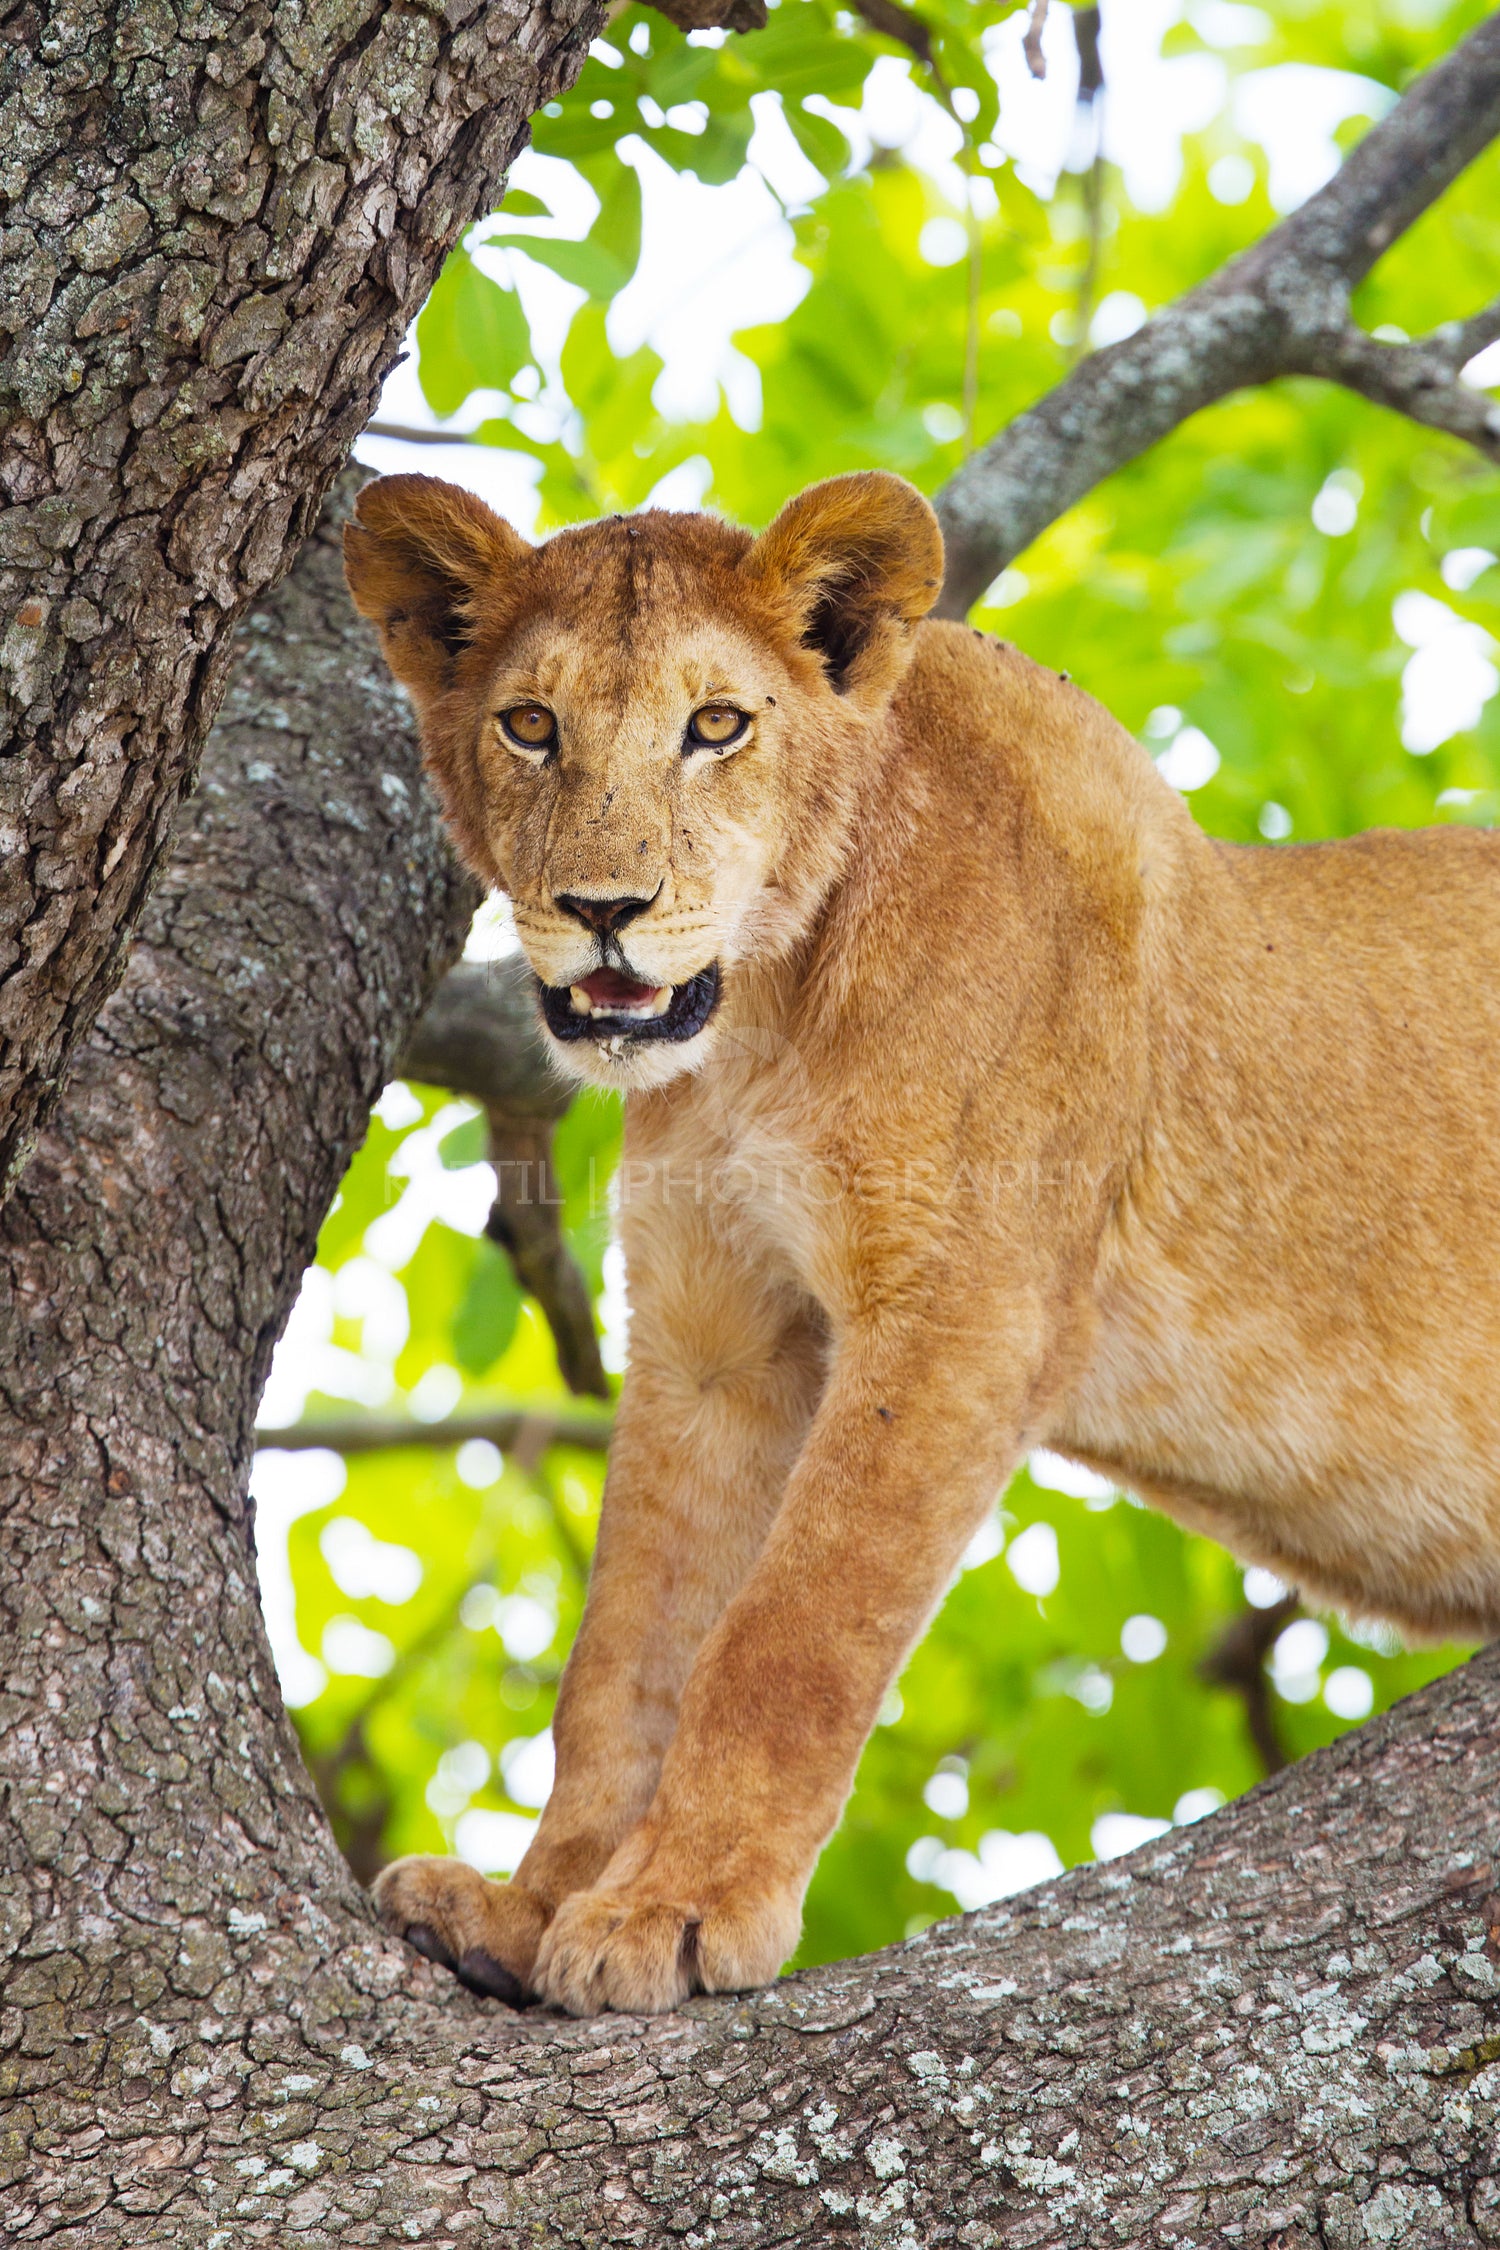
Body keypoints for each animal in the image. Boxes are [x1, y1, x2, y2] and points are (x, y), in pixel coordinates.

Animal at [346, 465, 1500, 2016]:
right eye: (531, 725)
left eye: (719, 725)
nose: (604, 910)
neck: (761, 1020)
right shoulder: (715, 1341)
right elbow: (630, 1649)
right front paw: (530, 1907)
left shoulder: (965, 1311)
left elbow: (789, 1632)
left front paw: (680, 1904)